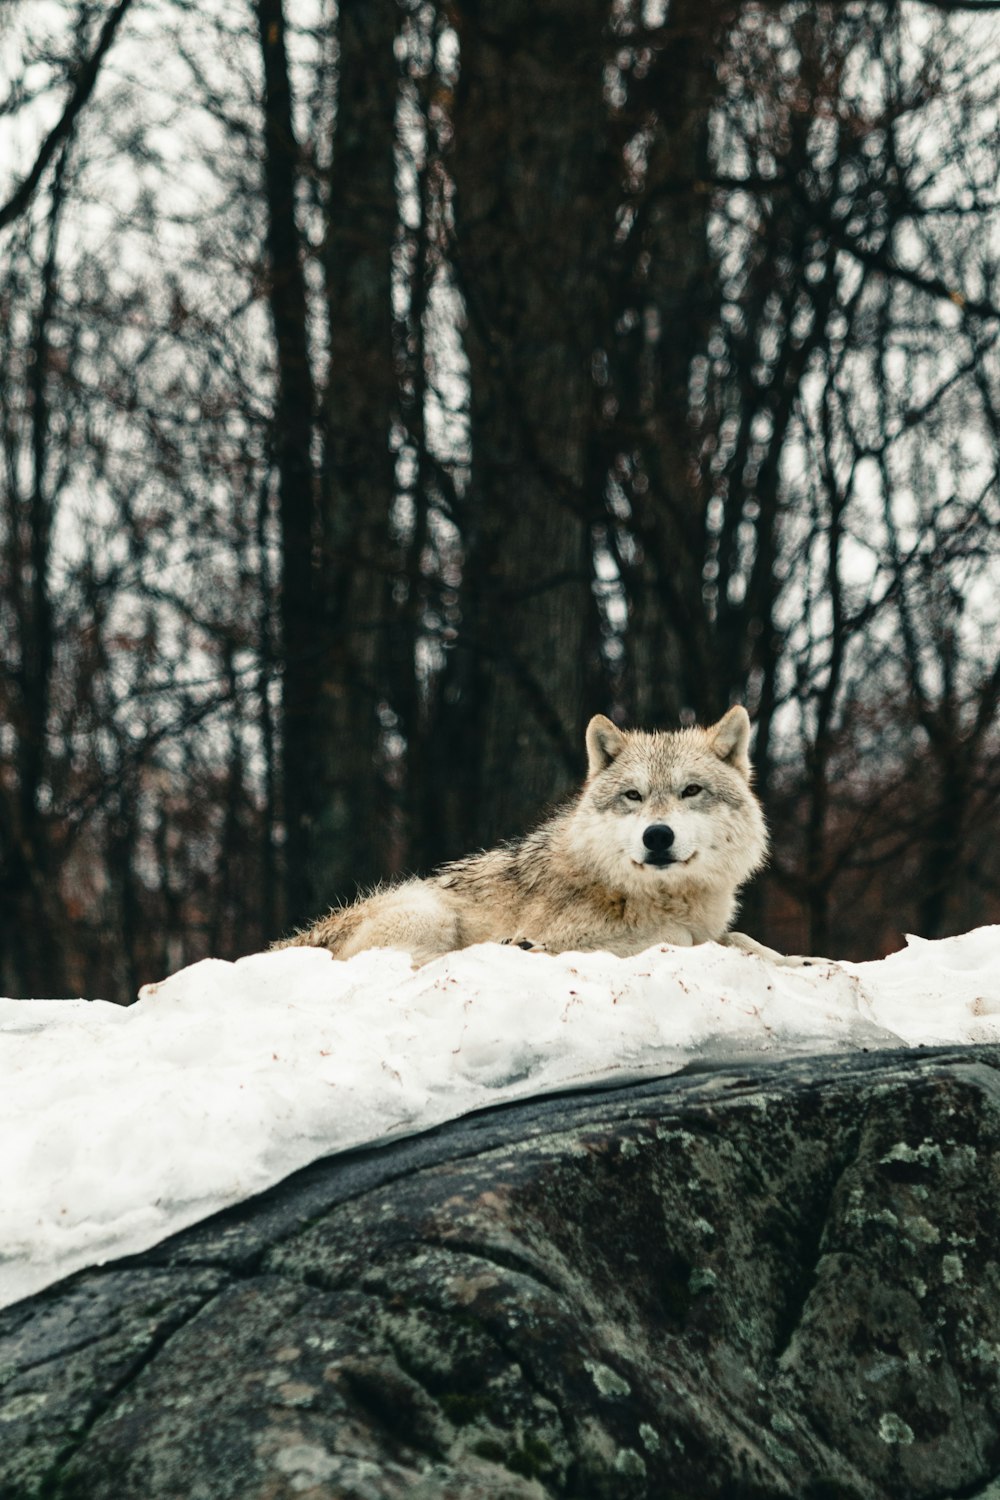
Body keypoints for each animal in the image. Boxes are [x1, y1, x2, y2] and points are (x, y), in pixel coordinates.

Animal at [277, 705, 791, 966]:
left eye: (690, 791)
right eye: (633, 795)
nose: (657, 836)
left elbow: (744, 939)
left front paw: (798, 963)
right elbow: (678, 938)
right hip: (429, 913)